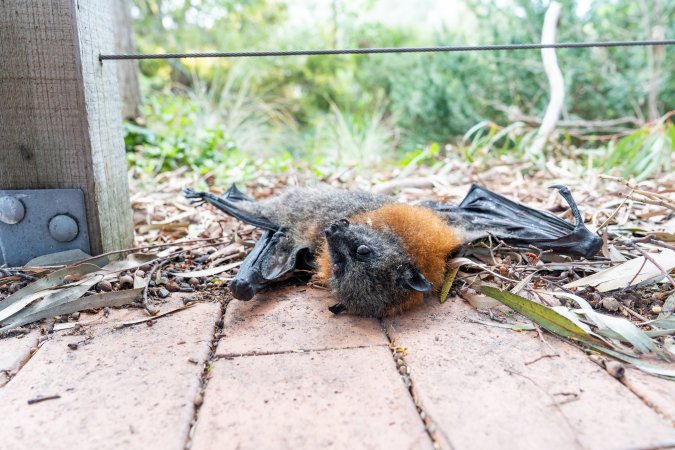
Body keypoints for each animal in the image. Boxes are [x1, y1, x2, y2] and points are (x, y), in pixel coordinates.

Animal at [184, 183, 601, 317]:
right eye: (341, 262)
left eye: (359, 253)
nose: (333, 229)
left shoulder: (458, 225)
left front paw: (585, 233)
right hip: (280, 220)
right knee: (257, 223)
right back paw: (210, 195)